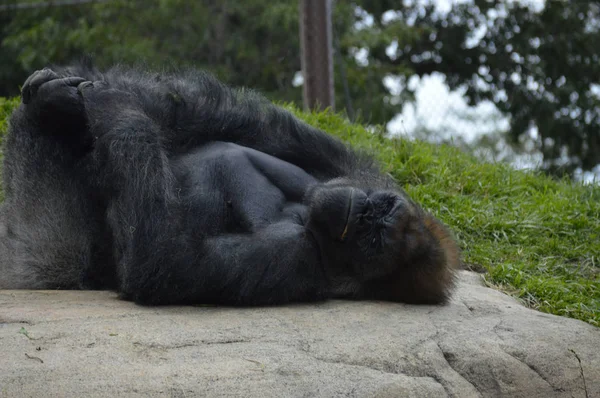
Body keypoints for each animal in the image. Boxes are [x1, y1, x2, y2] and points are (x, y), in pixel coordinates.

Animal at [0, 63, 460, 304]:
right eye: (379, 210)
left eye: (373, 240)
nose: (361, 213)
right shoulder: (350, 164)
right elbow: (224, 119)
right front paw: (78, 95)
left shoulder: (298, 260)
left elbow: (162, 259)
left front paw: (109, 102)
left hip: (45, 255)